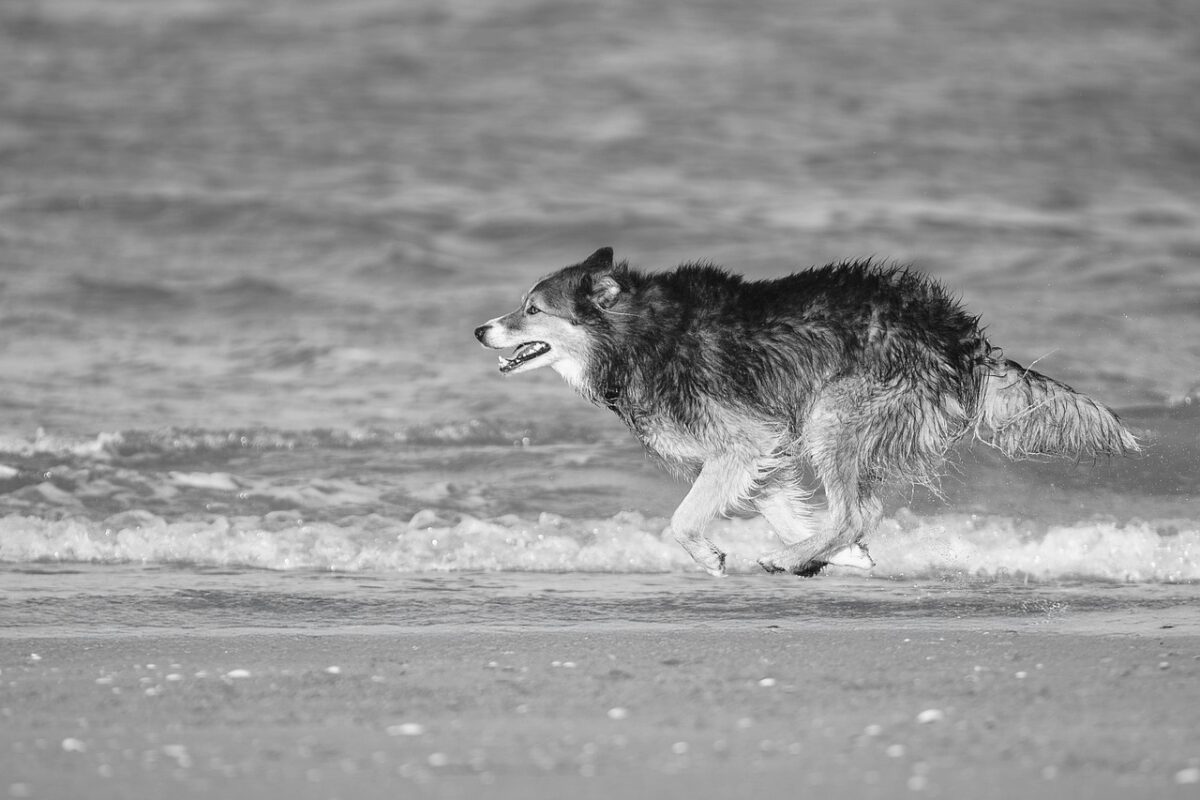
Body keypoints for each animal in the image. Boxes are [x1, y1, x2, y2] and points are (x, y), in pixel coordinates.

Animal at [474, 248, 1140, 577]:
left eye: (531, 309)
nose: (480, 330)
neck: (635, 336)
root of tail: (960, 337)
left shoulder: (742, 441)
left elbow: (683, 519)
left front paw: (714, 557)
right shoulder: (764, 450)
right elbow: (785, 509)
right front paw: (836, 555)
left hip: (833, 418)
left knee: (858, 508)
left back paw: (786, 560)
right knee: (856, 511)